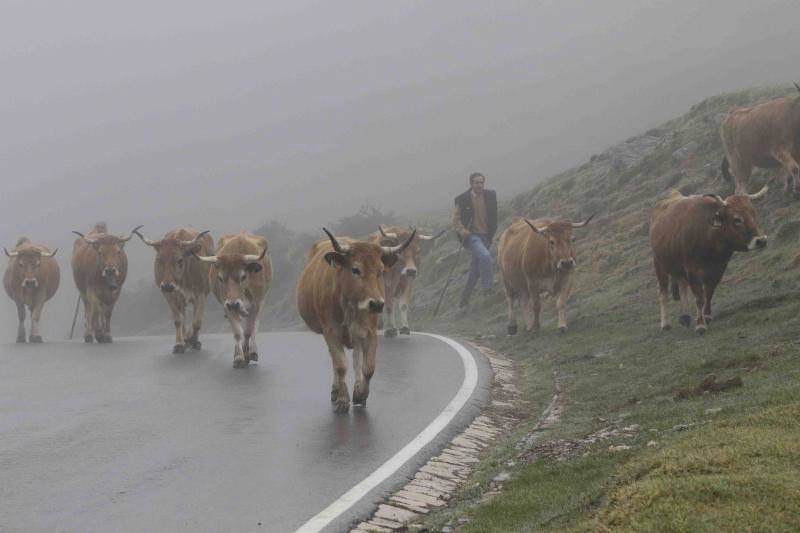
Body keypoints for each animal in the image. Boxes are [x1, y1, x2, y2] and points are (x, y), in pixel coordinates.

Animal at [194, 231, 272, 368]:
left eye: (243, 276)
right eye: (220, 278)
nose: (233, 304)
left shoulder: (255, 304)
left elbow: (248, 331)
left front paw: (246, 354)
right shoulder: (227, 306)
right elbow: (237, 332)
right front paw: (239, 358)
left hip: (261, 301)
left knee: (255, 325)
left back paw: (253, 352)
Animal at [296, 227, 416, 414]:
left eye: (381, 271)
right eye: (355, 269)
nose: (377, 304)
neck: (350, 305)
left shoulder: (370, 331)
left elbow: (368, 367)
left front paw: (360, 394)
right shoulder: (330, 332)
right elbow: (340, 365)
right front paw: (342, 399)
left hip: (357, 335)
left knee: (357, 359)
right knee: (337, 361)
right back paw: (336, 390)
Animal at [648, 185, 768, 330]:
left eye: (753, 213)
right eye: (737, 219)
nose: (761, 241)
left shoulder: (719, 268)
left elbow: (709, 292)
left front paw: (707, 316)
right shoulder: (692, 270)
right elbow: (699, 297)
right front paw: (700, 325)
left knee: (682, 286)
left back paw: (685, 316)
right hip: (659, 264)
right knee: (663, 293)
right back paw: (665, 324)